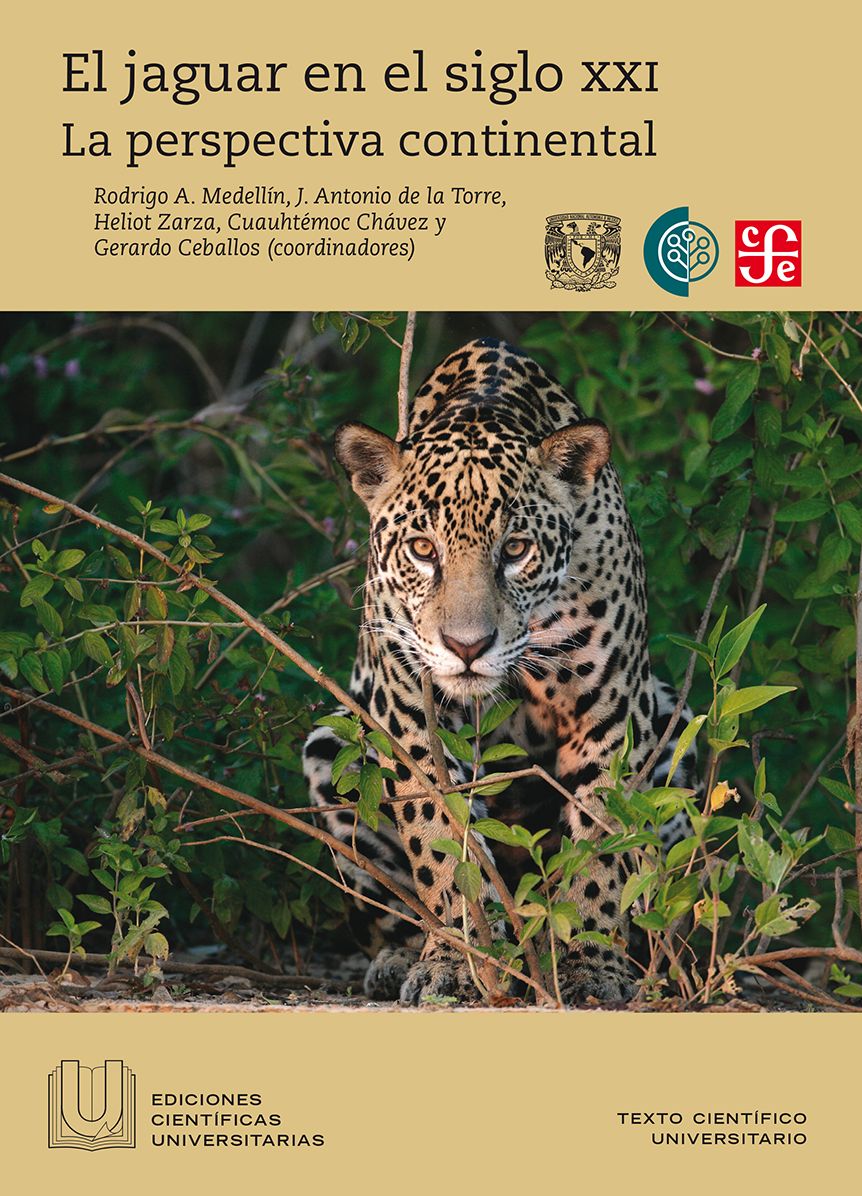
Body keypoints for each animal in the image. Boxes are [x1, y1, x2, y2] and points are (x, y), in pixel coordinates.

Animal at [303, 336, 695, 1006]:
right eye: (423, 550)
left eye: (515, 550)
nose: (467, 646)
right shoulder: (412, 714)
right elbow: (441, 841)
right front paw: (460, 964)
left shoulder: (611, 714)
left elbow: (602, 847)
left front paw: (589, 962)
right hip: (332, 744)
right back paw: (399, 960)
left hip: (674, 726)